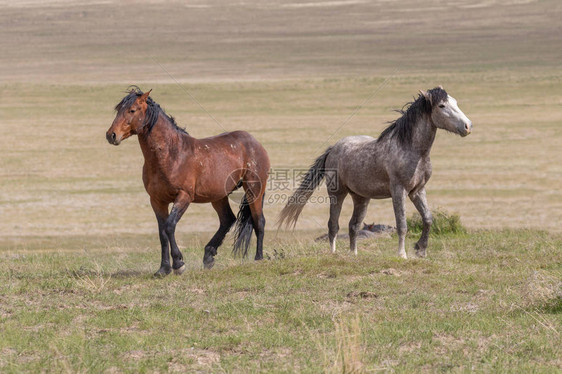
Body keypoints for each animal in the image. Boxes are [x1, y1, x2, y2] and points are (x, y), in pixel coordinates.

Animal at [107, 87, 272, 274]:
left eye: (132, 110)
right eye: (118, 110)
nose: (111, 135)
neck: (171, 155)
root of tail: (255, 142)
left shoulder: (184, 196)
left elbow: (169, 226)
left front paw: (179, 263)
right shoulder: (157, 200)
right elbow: (162, 232)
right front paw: (163, 268)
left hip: (253, 189)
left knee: (259, 220)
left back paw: (258, 257)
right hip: (218, 196)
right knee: (227, 220)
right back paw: (208, 256)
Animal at [278, 86, 470, 258]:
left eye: (455, 102)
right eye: (442, 106)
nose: (468, 126)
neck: (412, 150)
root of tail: (333, 149)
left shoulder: (417, 191)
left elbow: (428, 218)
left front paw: (420, 250)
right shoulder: (399, 191)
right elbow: (402, 225)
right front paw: (402, 254)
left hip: (361, 198)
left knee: (353, 225)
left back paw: (353, 253)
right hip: (337, 193)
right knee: (333, 225)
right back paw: (333, 253)